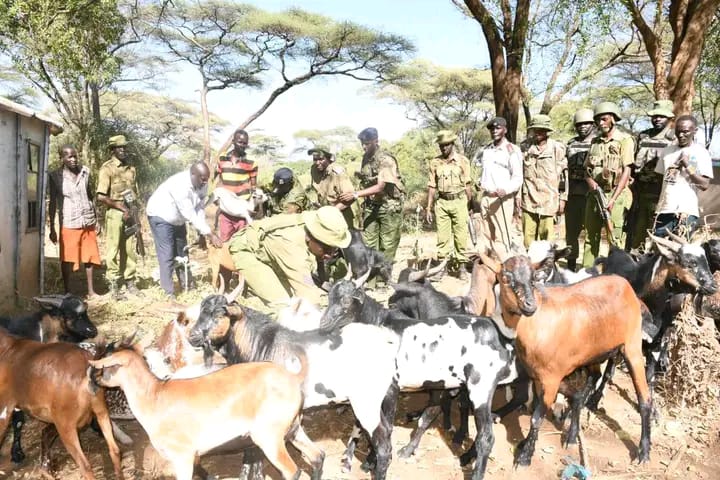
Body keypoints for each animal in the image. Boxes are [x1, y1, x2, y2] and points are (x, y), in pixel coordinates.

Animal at [90, 344, 324, 480]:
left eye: (105, 365)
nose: (94, 379)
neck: (155, 395)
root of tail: (292, 378)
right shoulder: (193, 455)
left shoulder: (182, 456)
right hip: (293, 430)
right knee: (317, 456)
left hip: (269, 438)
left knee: (293, 471)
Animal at [186, 284, 400, 480]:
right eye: (201, 311)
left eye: (218, 314)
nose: (191, 336)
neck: (261, 345)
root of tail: (386, 341)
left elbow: (253, 453)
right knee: (387, 433)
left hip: (366, 402)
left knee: (383, 445)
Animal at [480, 253, 656, 466]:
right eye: (505, 278)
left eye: (533, 279)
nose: (530, 305)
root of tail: (629, 289)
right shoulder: (537, 377)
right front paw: (525, 444)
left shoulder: (551, 378)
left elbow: (536, 418)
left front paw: (524, 456)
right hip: (593, 353)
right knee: (589, 384)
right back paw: (572, 433)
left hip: (632, 345)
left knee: (644, 398)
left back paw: (644, 452)